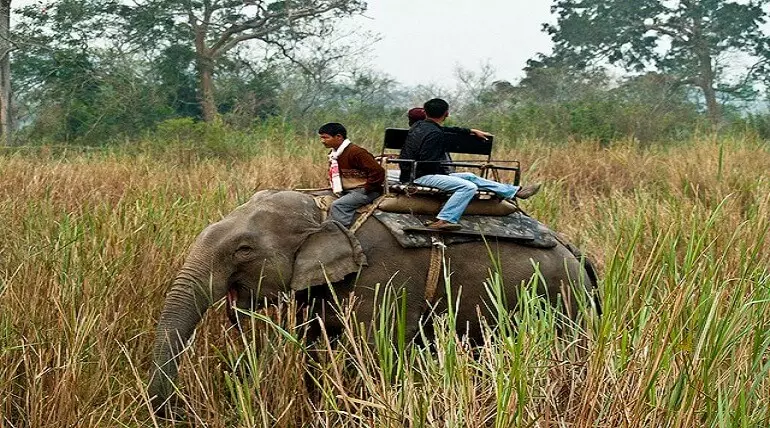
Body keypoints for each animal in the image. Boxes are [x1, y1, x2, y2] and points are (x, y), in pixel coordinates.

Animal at [148, 189, 598, 413]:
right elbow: (315, 349)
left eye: (243, 250)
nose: (176, 412)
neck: (326, 213)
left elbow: (370, 351)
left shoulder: (383, 281)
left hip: (560, 300)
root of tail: (577, 254)